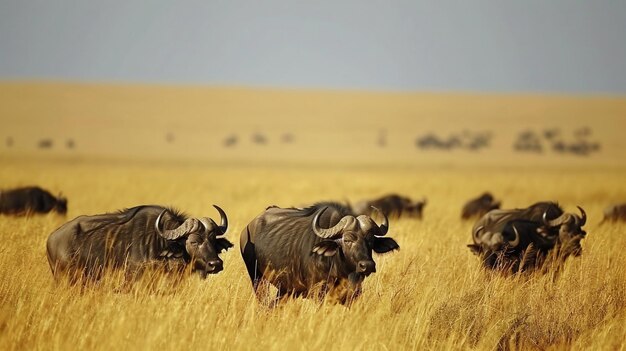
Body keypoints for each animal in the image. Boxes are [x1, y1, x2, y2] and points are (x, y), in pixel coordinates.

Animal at [239, 204, 400, 306]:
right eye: (347, 240)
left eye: (371, 240)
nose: (367, 265)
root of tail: (248, 227)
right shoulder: (318, 293)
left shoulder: (354, 295)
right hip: (258, 279)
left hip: (285, 289)